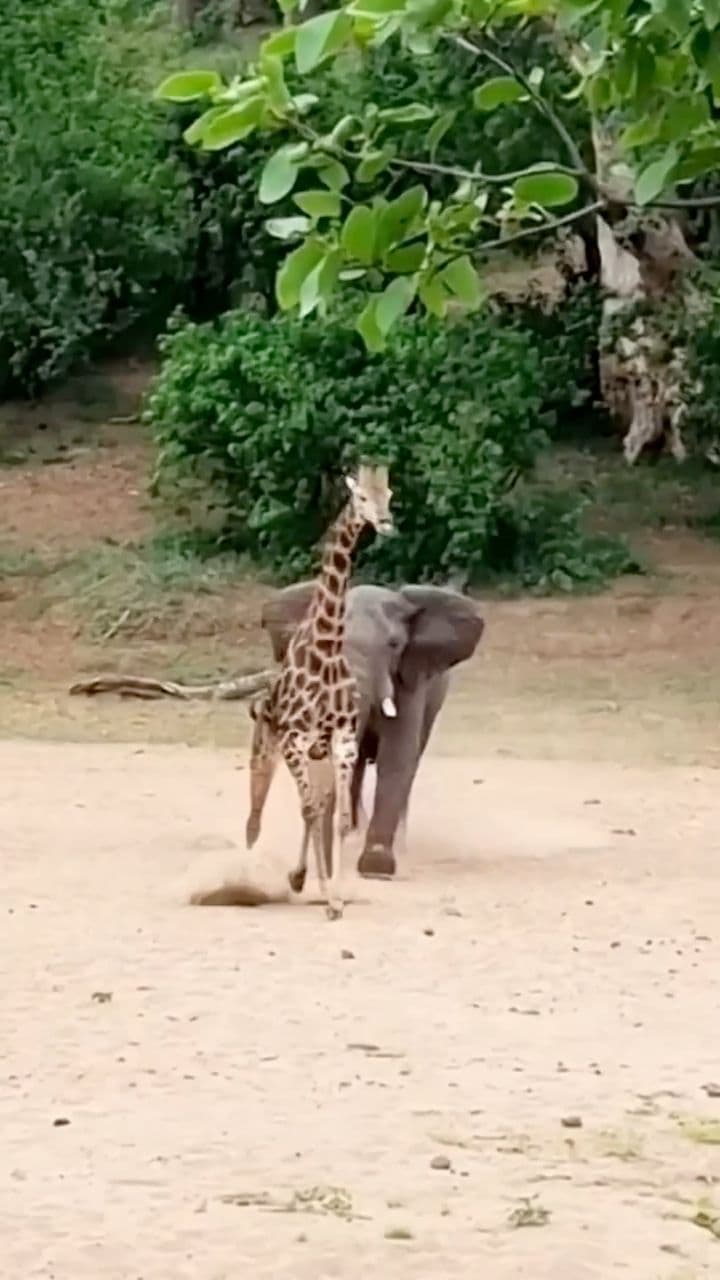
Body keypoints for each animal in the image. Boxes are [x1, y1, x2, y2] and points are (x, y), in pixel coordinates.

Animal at [244, 464, 393, 920]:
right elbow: (308, 809)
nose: (385, 522)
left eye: (390, 495)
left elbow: (337, 818)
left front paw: (335, 896)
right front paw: (325, 894)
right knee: (255, 814)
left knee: (318, 807)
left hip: (318, 754)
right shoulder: (294, 738)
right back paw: (250, 870)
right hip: (267, 745)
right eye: (360, 497)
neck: (327, 647)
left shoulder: (342, 740)